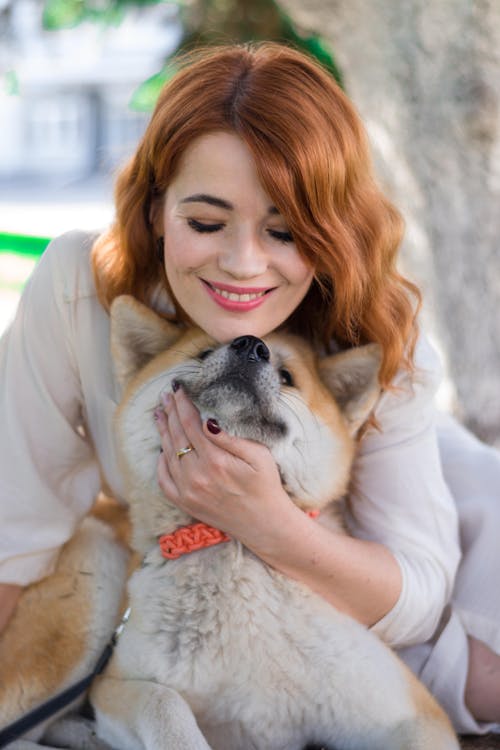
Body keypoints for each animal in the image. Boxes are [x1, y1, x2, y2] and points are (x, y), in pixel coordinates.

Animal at [87, 296, 460, 750]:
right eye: (203, 353)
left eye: (287, 377)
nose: (250, 345)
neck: (230, 541)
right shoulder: (112, 686)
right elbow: (164, 703)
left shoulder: (412, 712)